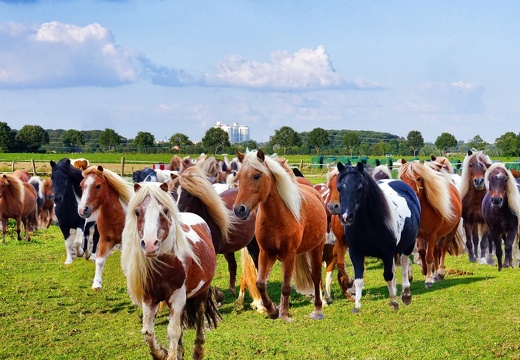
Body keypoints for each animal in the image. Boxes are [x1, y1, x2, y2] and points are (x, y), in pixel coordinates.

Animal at [121, 183, 219, 360]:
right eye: (137, 212)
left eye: (165, 211)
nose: (150, 244)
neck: (165, 266)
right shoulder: (149, 298)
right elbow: (148, 332)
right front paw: (161, 353)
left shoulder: (178, 296)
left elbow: (173, 331)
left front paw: (171, 354)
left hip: (201, 292)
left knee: (200, 316)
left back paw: (198, 351)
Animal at [232, 149, 324, 320]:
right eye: (238, 177)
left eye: (256, 175)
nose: (239, 209)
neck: (277, 218)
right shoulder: (265, 253)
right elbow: (260, 283)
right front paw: (272, 310)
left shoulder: (289, 254)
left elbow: (286, 287)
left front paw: (285, 314)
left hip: (316, 248)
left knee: (315, 276)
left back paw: (318, 307)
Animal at [336, 162, 420, 314]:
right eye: (339, 188)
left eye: (360, 188)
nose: (345, 217)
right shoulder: (356, 253)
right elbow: (359, 279)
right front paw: (357, 306)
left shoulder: (386, 253)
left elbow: (388, 275)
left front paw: (393, 302)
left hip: (408, 245)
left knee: (404, 265)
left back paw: (405, 295)